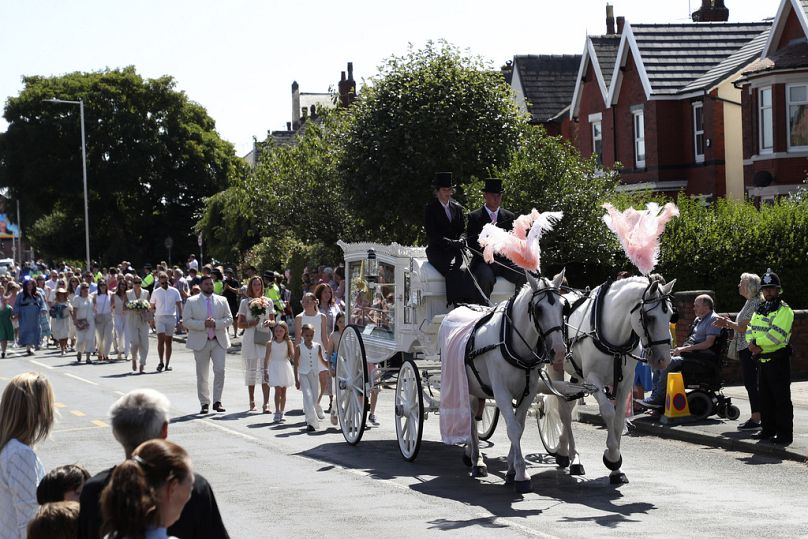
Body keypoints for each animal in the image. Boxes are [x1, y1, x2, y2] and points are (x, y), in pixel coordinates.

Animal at [446, 270, 564, 494]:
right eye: (539, 309)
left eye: (564, 306)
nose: (559, 350)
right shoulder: (501, 392)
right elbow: (513, 429)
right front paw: (521, 474)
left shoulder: (528, 392)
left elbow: (519, 426)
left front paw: (511, 469)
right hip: (465, 386)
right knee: (470, 421)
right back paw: (477, 460)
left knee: (475, 417)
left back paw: (473, 456)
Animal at [552, 278, 680, 486]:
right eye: (650, 318)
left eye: (670, 315)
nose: (664, 360)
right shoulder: (593, 379)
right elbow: (608, 412)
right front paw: (611, 457)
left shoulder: (626, 381)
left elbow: (620, 418)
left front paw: (617, 469)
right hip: (556, 369)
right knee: (563, 411)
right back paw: (571, 457)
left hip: (576, 376)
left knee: (568, 409)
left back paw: (567, 454)